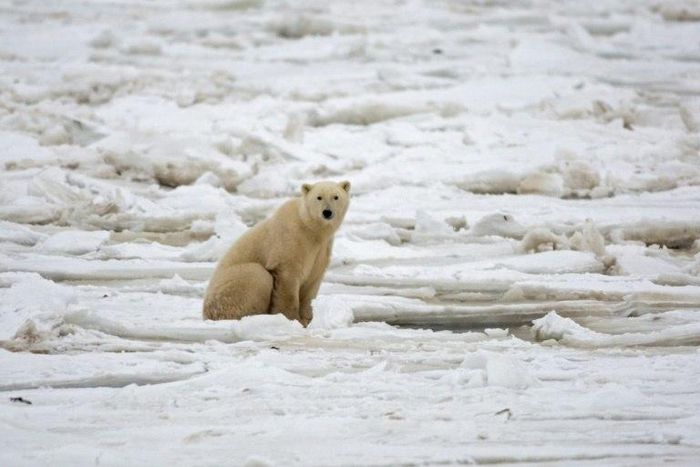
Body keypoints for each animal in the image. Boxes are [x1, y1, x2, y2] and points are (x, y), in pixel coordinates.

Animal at [203, 180, 351, 327]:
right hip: (229, 287)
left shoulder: (321, 250)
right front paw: (291, 318)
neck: (310, 229)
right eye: (319, 197)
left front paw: (307, 319)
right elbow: (287, 282)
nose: (327, 212)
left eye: (336, 197)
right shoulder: (290, 242)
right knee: (256, 274)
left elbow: (312, 281)